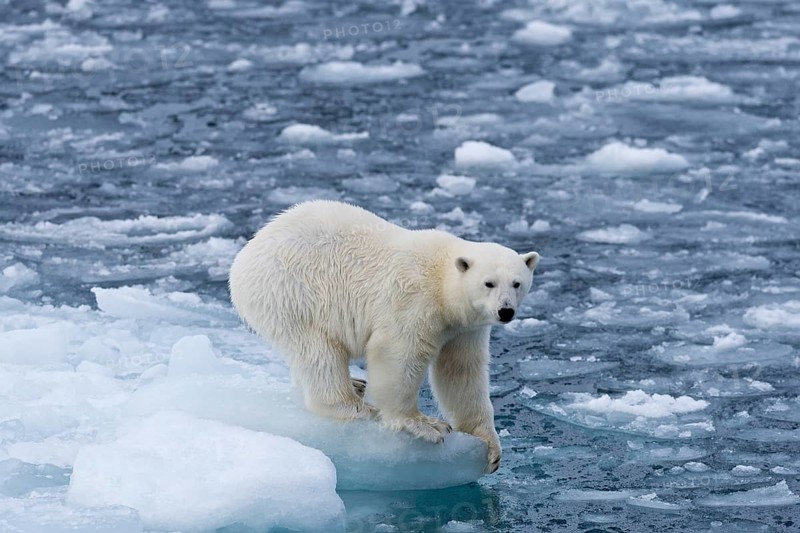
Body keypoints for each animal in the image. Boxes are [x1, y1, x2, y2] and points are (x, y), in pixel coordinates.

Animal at [229, 200, 539, 472]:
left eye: (517, 283)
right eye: (489, 283)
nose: (505, 311)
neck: (442, 283)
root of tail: (244, 258)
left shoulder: (464, 328)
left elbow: (461, 372)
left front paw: (490, 446)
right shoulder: (414, 300)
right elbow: (397, 354)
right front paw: (426, 424)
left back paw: (355, 384)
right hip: (294, 292)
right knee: (319, 351)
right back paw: (356, 405)